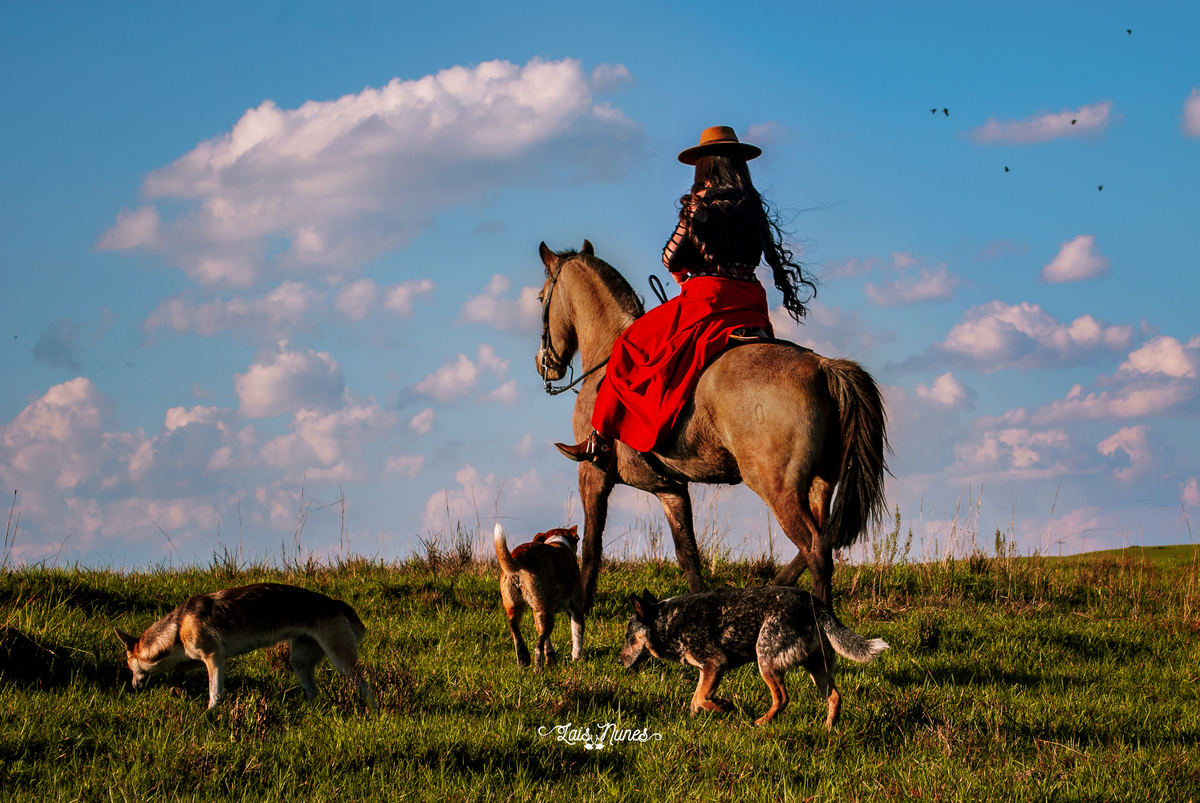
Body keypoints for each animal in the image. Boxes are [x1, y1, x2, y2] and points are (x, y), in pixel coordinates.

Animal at [114, 583, 376, 710]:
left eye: (129, 666)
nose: (132, 686)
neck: (178, 627)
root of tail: (335, 603)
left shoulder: (214, 658)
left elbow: (215, 692)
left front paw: (211, 712)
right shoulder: (204, 657)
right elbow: (177, 670)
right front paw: (176, 690)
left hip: (342, 664)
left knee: (365, 686)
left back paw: (373, 712)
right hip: (299, 662)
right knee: (313, 691)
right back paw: (301, 713)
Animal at [494, 523, 584, 670]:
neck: (557, 541)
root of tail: (521, 555)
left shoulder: (536, 614)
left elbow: (548, 645)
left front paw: (551, 662)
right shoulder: (576, 608)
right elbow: (577, 636)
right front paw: (576, 660)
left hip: (515, 605)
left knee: (515, 627)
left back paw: (524, 658)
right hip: (548, 613)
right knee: (538, 645)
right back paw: (538, 669)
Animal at [536, 241, 889, 611]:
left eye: (541, 297)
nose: (543, 365)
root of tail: (823, 366)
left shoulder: (593, 473)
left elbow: (591, 545)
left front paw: (582, 605)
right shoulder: (671, 487)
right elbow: (687, 552)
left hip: (777, 486)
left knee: (815, 548)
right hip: (821, 482)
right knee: (822, 540)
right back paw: (776, 587)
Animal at [618, 586, 887, 728]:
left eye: (629, 637)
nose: (618, 662)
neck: (668, 621)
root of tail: (813, 603)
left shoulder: (715, 662)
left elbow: (703, 698)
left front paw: (722, 706)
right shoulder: (706, 671)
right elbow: (696, 699)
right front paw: (692, 722)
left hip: (765, 661)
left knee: (782, 697)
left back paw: (761, 723)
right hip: (817, 670)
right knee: (835, 697)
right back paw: (828, 728)